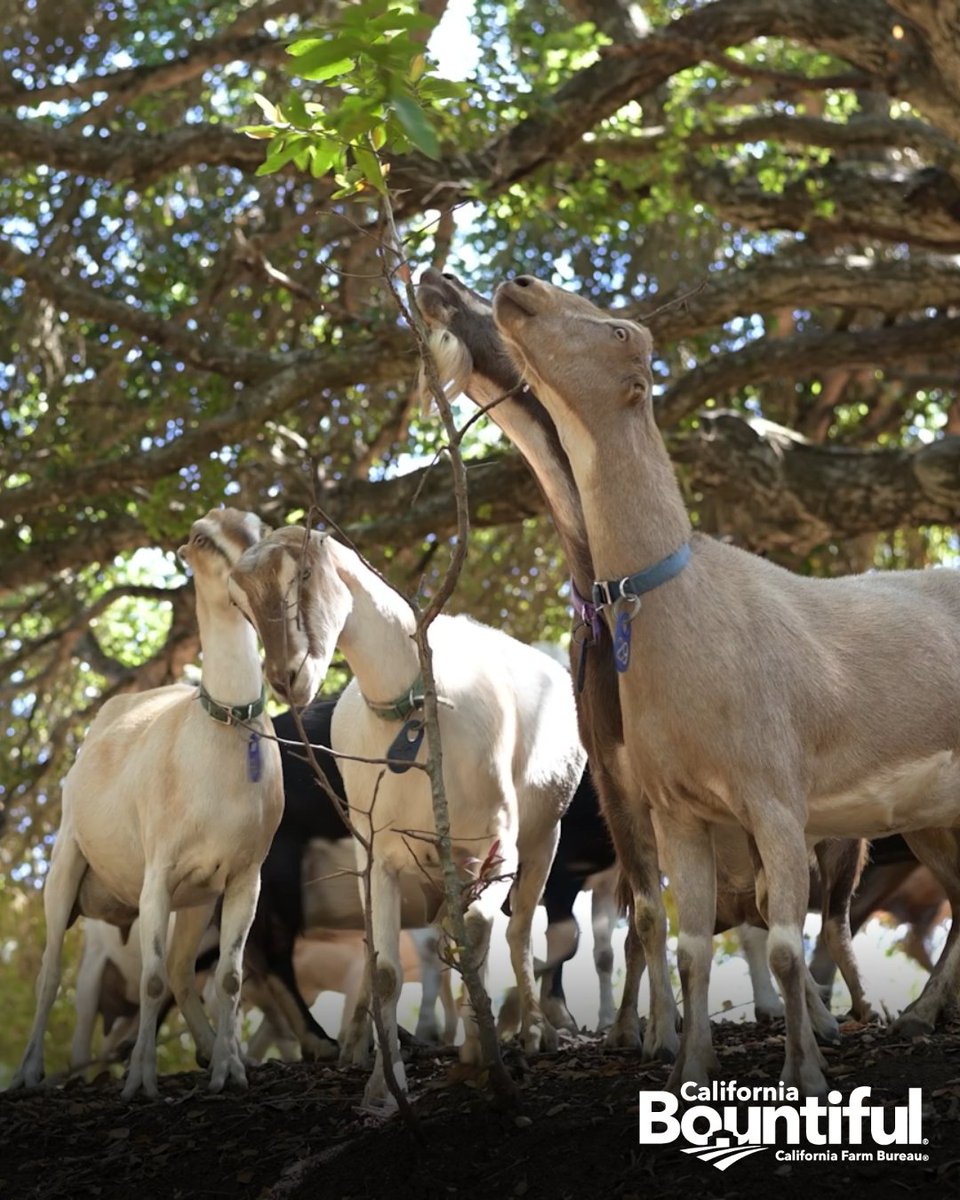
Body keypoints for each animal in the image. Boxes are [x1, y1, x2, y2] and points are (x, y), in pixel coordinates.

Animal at [11, 508, 283, 1098]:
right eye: (201, 538)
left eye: (262, 528)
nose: (252, 575)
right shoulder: (158, 870)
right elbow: (150, 980)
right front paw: (140, 1080)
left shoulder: (244, 874)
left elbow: (228, 977)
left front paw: (230, 1071)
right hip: (67, 860)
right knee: (50, 973)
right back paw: (28, 1073)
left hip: (197, 898)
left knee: (184, 972)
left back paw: (210, 1050)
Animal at [228, 526, 586, 1105]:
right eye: (239, 603)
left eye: (302, 572)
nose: (287, 677)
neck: (415, 715)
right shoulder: (380, 859)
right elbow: (386, 972)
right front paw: (382, 1088)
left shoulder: (498, 845)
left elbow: (477, 931)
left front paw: (484, 1055)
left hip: (542, 838)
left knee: (514, 931)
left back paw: (530, 1031)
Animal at [415, 268, 871, 1039]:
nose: (438, 277)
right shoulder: (615, 774)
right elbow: (644, 922)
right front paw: (645, 1031)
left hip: (842, 839)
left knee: (825, 917)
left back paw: (848, 1012)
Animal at [491, 274, 960, 1096]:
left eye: (620, 332)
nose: (519, 285)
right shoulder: (679, 809)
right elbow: (691, 947)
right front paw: (688, 1068)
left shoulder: (775, 793)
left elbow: (781, 945)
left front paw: (806, 1071)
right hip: (930, 813)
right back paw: (919, 1015)